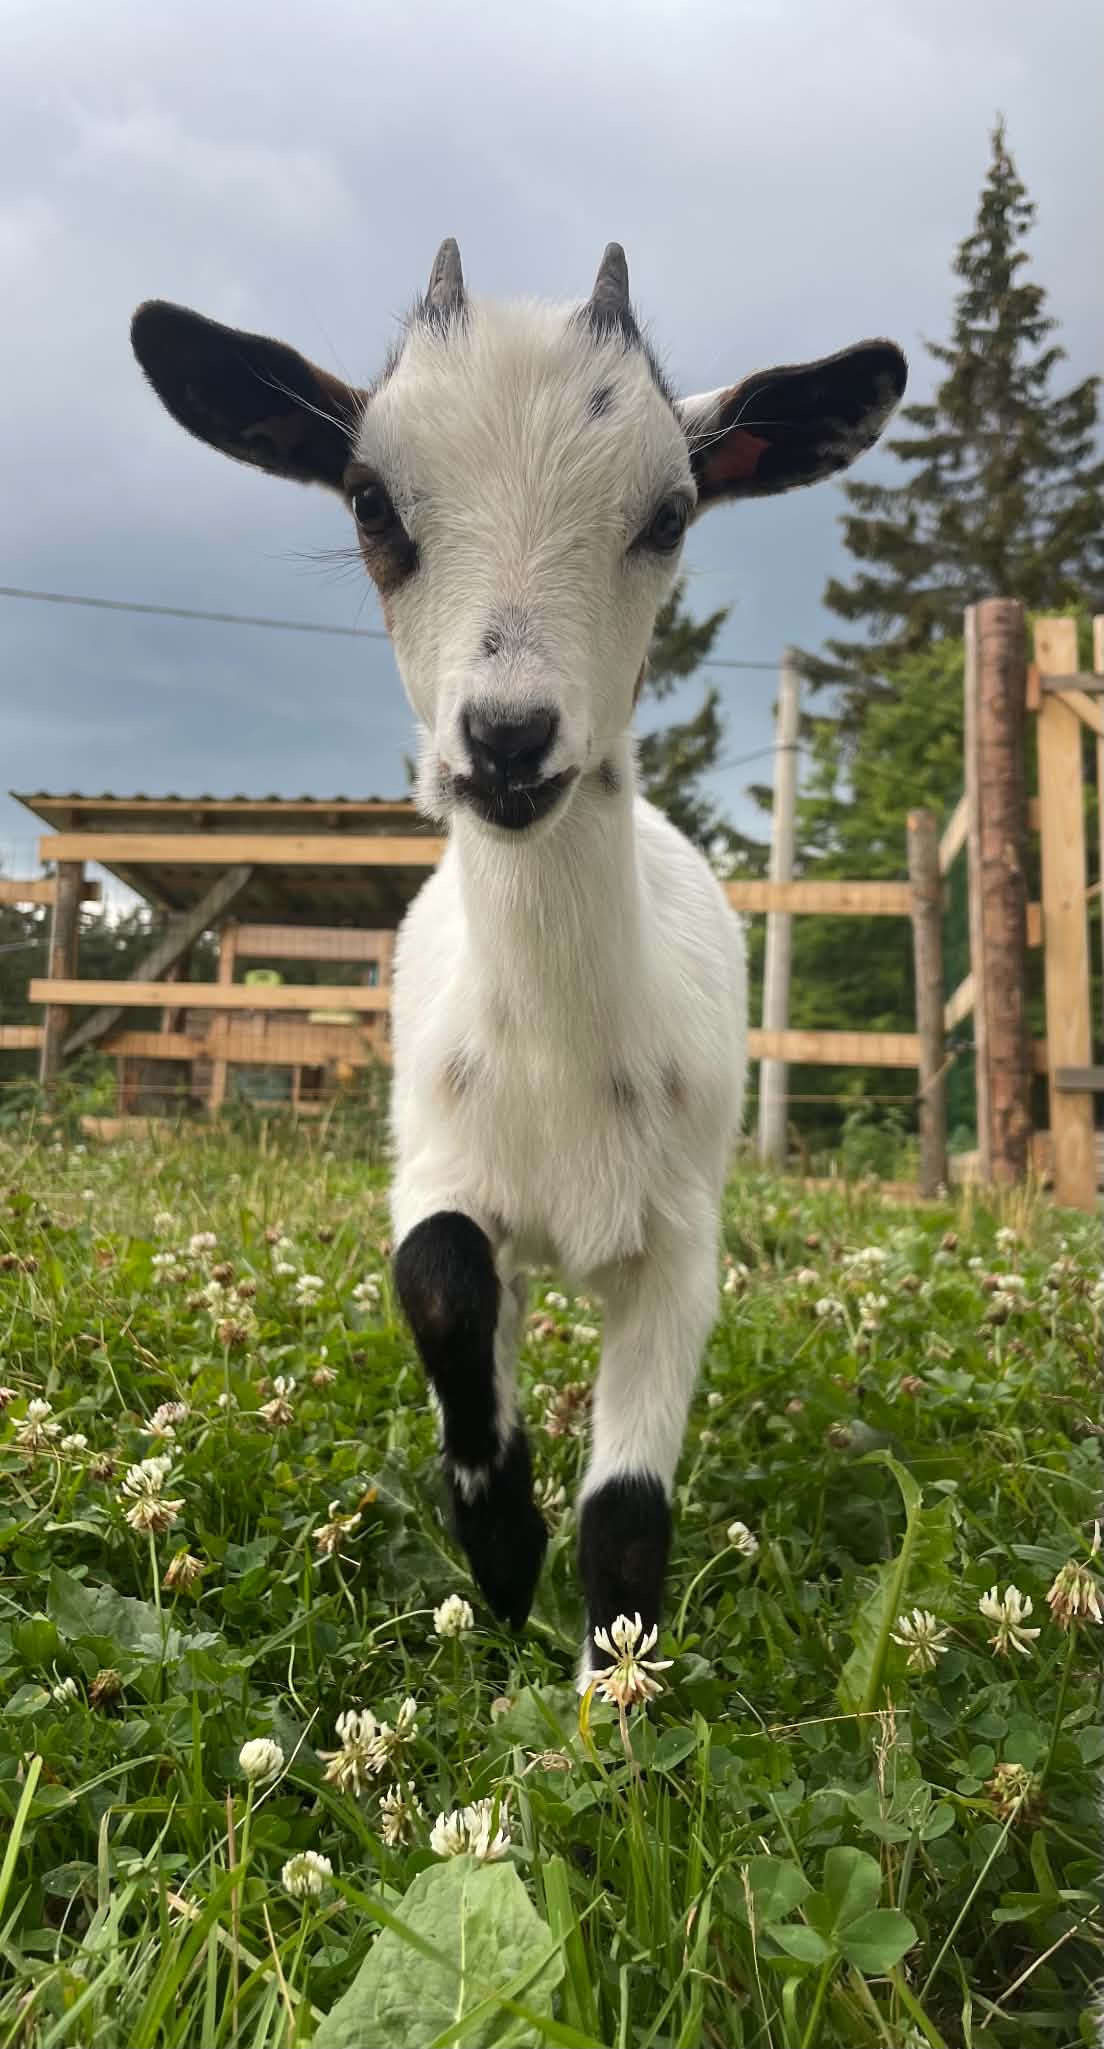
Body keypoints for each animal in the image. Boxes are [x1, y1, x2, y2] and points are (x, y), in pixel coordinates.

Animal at [131, 241, 906, 1674]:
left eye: (671, 513)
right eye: (370, 500)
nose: (506, 740)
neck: (557, 1056)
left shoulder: (681, 1241)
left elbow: (629, 1511)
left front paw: (612, 1679)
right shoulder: (435, 1163)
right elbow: (438, 1277)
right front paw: (498, 1546)